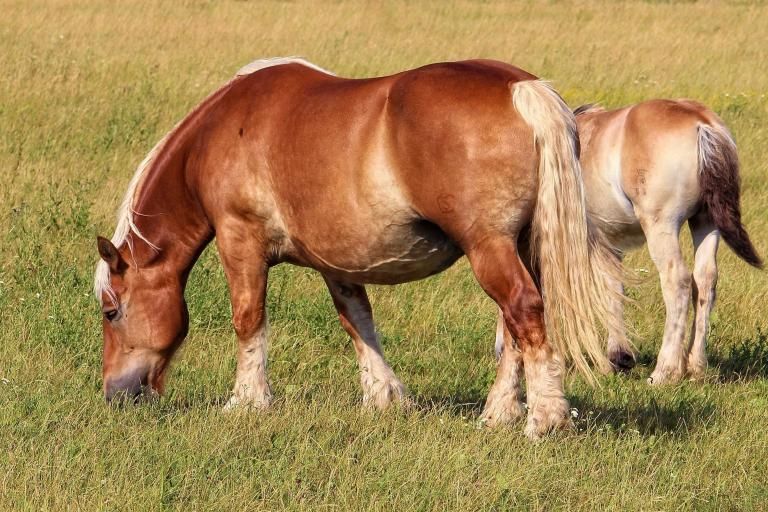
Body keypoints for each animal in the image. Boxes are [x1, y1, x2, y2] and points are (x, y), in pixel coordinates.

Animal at [94, 57, 620, 438]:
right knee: (515, 327)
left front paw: (246, 402)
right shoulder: (337, 261)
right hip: (523, 246)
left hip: (489, 249)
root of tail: (521, 88)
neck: (222, 130)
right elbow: (357, 321)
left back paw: (543, 420)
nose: (114, 395)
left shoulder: (240, 241)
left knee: (524, 312)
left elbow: (248, 321)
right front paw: (384, 396)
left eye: (111, 312)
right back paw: (499, 414)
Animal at [495, 99, 762, 386]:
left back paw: (665, 371)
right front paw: (619, 356)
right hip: (706, 222)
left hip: (662, 226)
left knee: (677, 282)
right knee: (705, 281)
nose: (499, 351)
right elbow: (615, 291)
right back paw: (696, 367)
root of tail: (702, 125)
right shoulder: (611, 245)